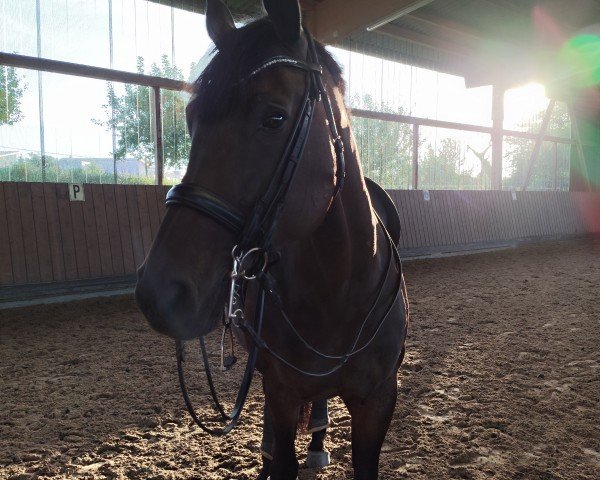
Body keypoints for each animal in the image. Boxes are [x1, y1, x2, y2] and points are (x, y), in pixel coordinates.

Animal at [135, 1, 408, 478]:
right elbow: (282, 454)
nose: (160, 294)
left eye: (274, 117)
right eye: (191, 118)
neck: (339, 289)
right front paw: (271, 457)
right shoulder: (281, 392)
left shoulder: (377, 401)